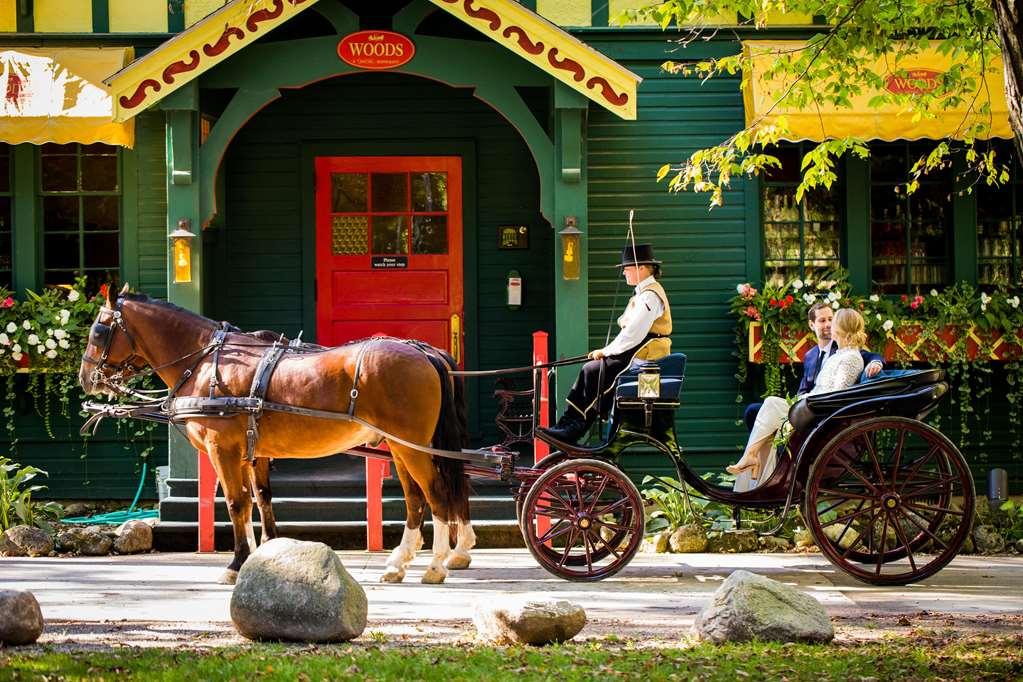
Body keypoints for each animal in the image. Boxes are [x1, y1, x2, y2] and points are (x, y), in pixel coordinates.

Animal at [77, 286, 472, 584]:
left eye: (98, 329)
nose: (85, 377)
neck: (208, 361)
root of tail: (423, 353)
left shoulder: (223, 448)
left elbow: (236, 503)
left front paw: (236, 563)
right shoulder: (253, 452)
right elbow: (261, 499)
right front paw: (264, 554)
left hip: (414, 448)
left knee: (437, 494)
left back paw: (436, 566)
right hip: (401, 447)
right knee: (415, 499)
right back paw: (399, 564)